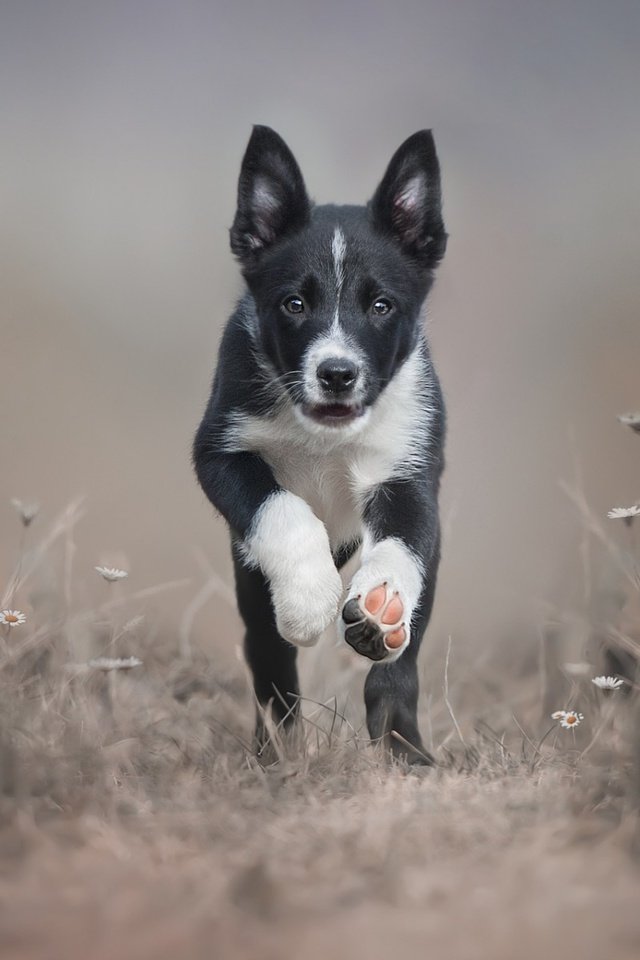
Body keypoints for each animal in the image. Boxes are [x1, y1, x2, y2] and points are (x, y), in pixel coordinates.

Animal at [192, 125, 448, 764]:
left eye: (381, 305)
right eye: (294, 303)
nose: (336, 374)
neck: (327, 438)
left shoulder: (409, 474)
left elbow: (402, 549)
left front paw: (383, 607)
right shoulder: (220, 453)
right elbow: (283, 507)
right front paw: (308, 597)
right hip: (251, 586)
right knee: (270, 666)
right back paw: (276, 753)